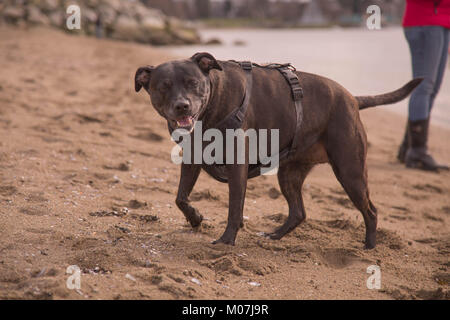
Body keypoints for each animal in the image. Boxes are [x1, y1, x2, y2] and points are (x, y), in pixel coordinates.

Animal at [134, 52, 422, 249]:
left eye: (193, 82)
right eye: (163, 87)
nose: (182, 106)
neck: (213, 102)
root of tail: (352, 98)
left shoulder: (237, 167)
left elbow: (234, 207)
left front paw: (227, 240)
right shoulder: (192, 160)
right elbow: (180, 198)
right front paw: (195, 218)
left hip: (350, 171)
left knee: (371, 211)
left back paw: (369, 245)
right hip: (290, 174)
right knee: (298, 212)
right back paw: (274, 234)